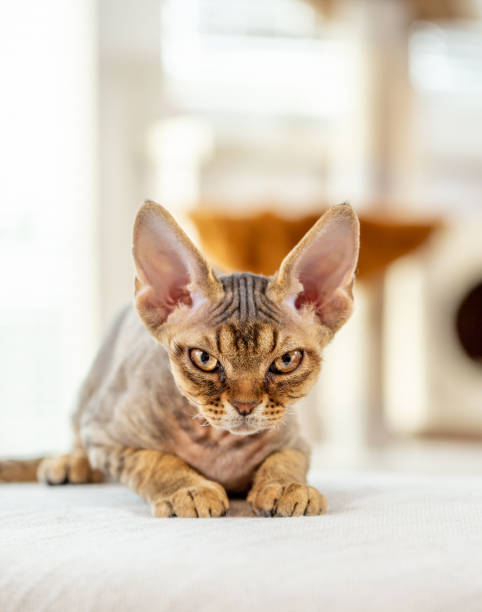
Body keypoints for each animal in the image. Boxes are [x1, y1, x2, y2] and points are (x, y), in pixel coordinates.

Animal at [0, 201, 360, 516]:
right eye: (204, 358)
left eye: (286, 361)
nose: (244, 406)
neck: (220, 444)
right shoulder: (101, 432)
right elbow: (152, 461)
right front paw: (189, 490)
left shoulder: (297, 441)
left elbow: (285, 459)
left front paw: (286, 487)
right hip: (90, 391)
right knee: (76, 439)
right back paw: (69, 463)